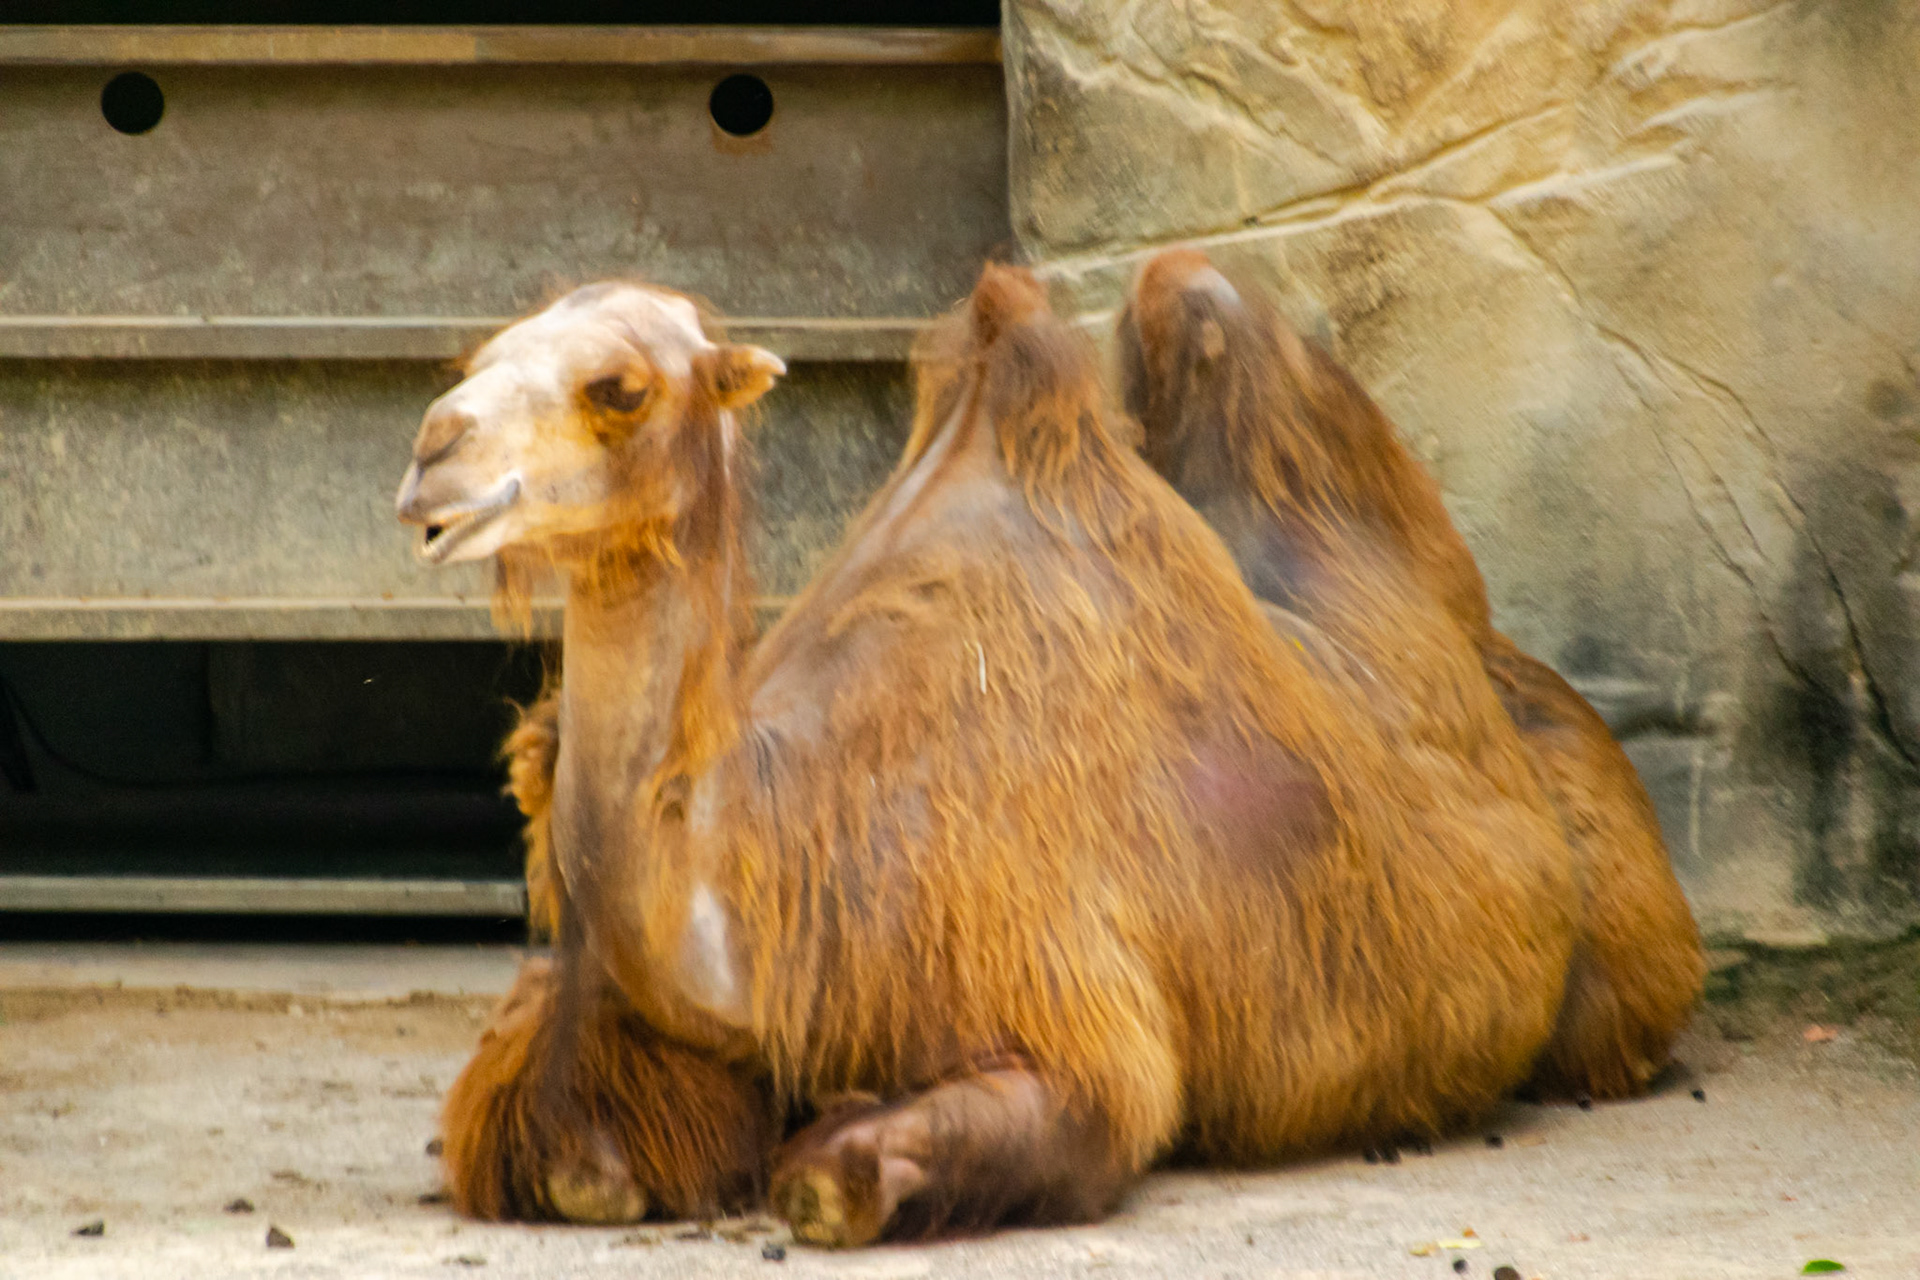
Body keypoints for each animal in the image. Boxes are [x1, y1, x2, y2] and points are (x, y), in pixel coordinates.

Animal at [397, 266, 1581, 1245]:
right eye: (480, 355)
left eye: (619, 386)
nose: (432, 452)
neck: (774, 864)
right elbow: (570, 1160)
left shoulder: (1063, 999)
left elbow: (836, 1181)